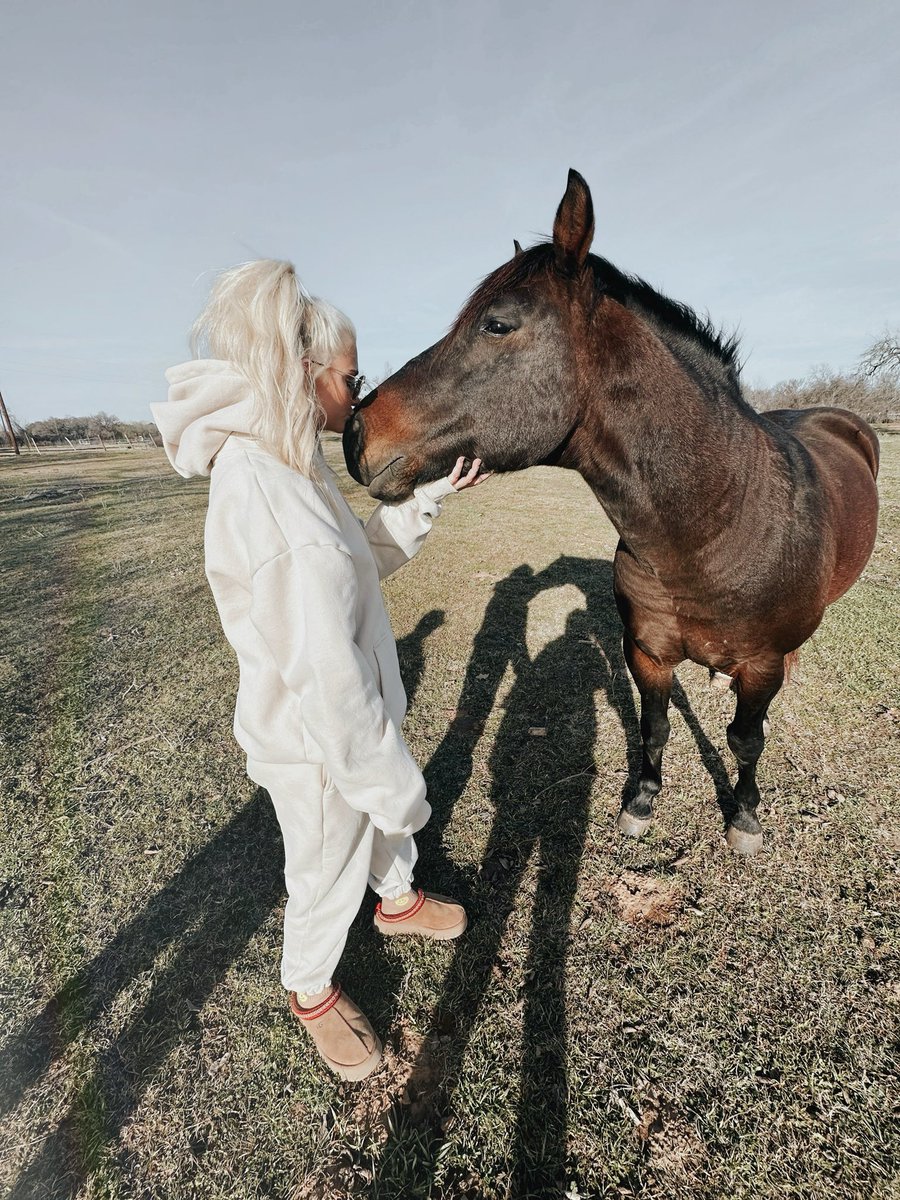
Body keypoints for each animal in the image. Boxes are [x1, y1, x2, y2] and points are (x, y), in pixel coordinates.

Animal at [343, 170, 880, 855]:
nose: (356, 433)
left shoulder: (759, 668)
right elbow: (654, 727)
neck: (718, 527)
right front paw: (642, 801)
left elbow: (745, 739)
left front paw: (745, 816)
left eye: (497, 324)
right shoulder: (646, 652)